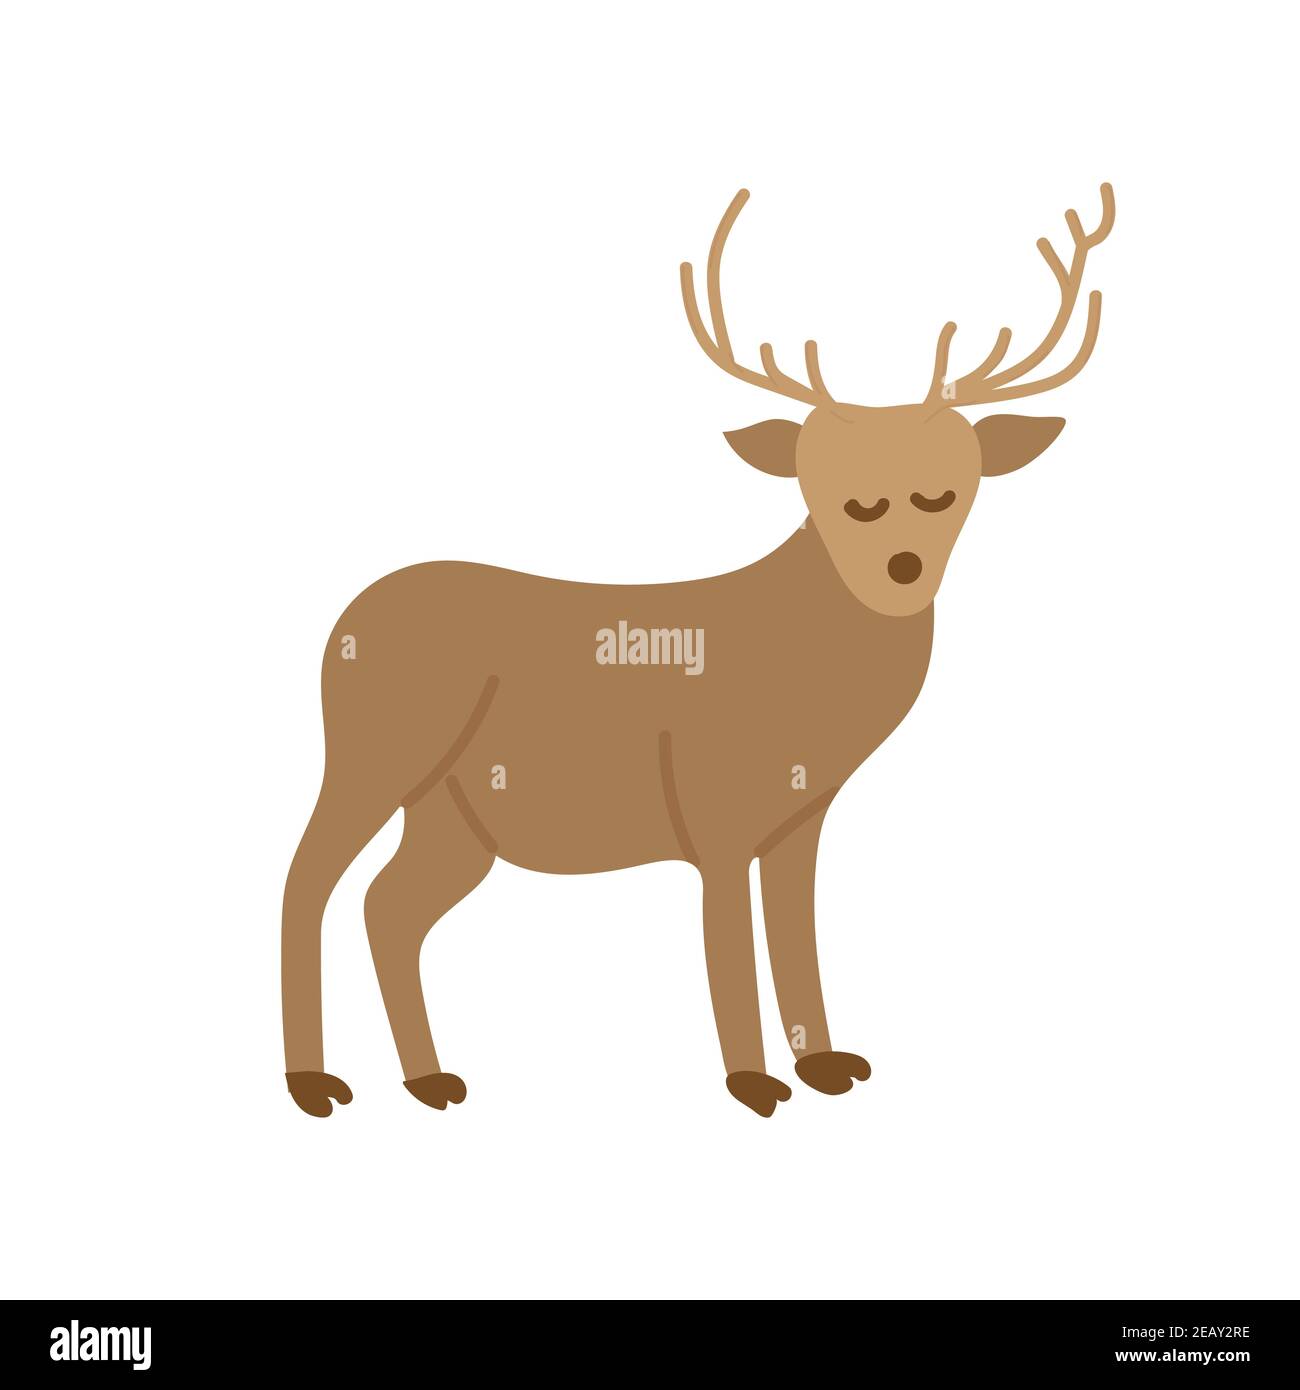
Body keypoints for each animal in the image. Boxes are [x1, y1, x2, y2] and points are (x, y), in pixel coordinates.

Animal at [283, 183, 1115, 1117]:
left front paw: (826, 1063)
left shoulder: (801, 817)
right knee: (308, 879)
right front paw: (753, 1081)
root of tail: (341, 627)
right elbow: (726, 940)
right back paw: (313, 1082)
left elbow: (795, 930)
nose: (900, 566)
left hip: (455, 816)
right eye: (823, 486)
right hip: (375, 751)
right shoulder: (711, 803)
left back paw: (429, 1079)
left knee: (388, 907)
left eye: (951, 486)